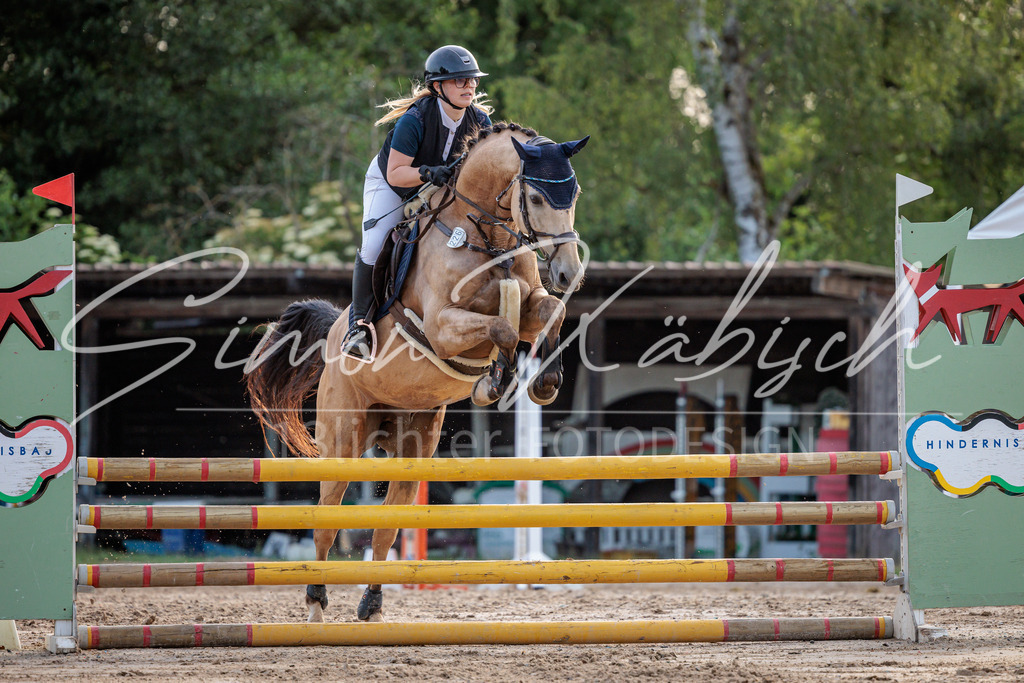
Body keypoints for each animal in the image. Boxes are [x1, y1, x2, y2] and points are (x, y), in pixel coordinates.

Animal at [245, 122, 589, 623]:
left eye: (574, 193)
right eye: (536, 197)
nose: (567, 273)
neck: (487, 239)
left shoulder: (529, 301)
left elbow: (547, 312)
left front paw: (543, 382)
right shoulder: (443, 327)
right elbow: (502, 328)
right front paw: (493, 382)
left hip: (413, 444)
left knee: (387, 527)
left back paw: (371, 605)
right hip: (342, 440)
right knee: (326, 522)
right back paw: (315, 604)